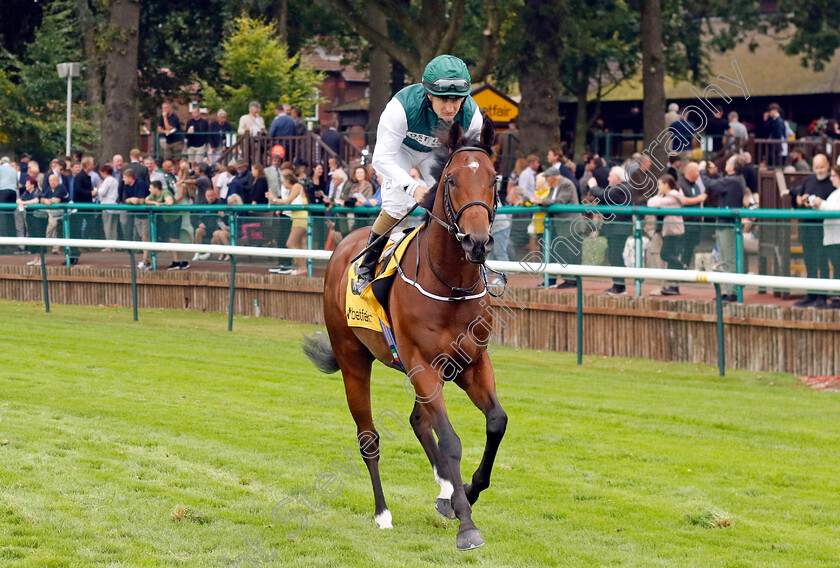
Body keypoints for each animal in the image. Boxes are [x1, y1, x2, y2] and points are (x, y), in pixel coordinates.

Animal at [306, 116, 508, 552]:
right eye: (452, 180)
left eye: (493, 179)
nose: (477, 241)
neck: (452, 287)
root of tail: (344, 244)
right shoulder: (421, 364)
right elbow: (450, 440)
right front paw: (467, 524)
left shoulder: (471, 362)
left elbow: (496, 422)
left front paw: (463, 494)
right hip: (353, 360)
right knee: (369, 438)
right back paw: (383, 513)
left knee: (418, 420)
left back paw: (445, 490)